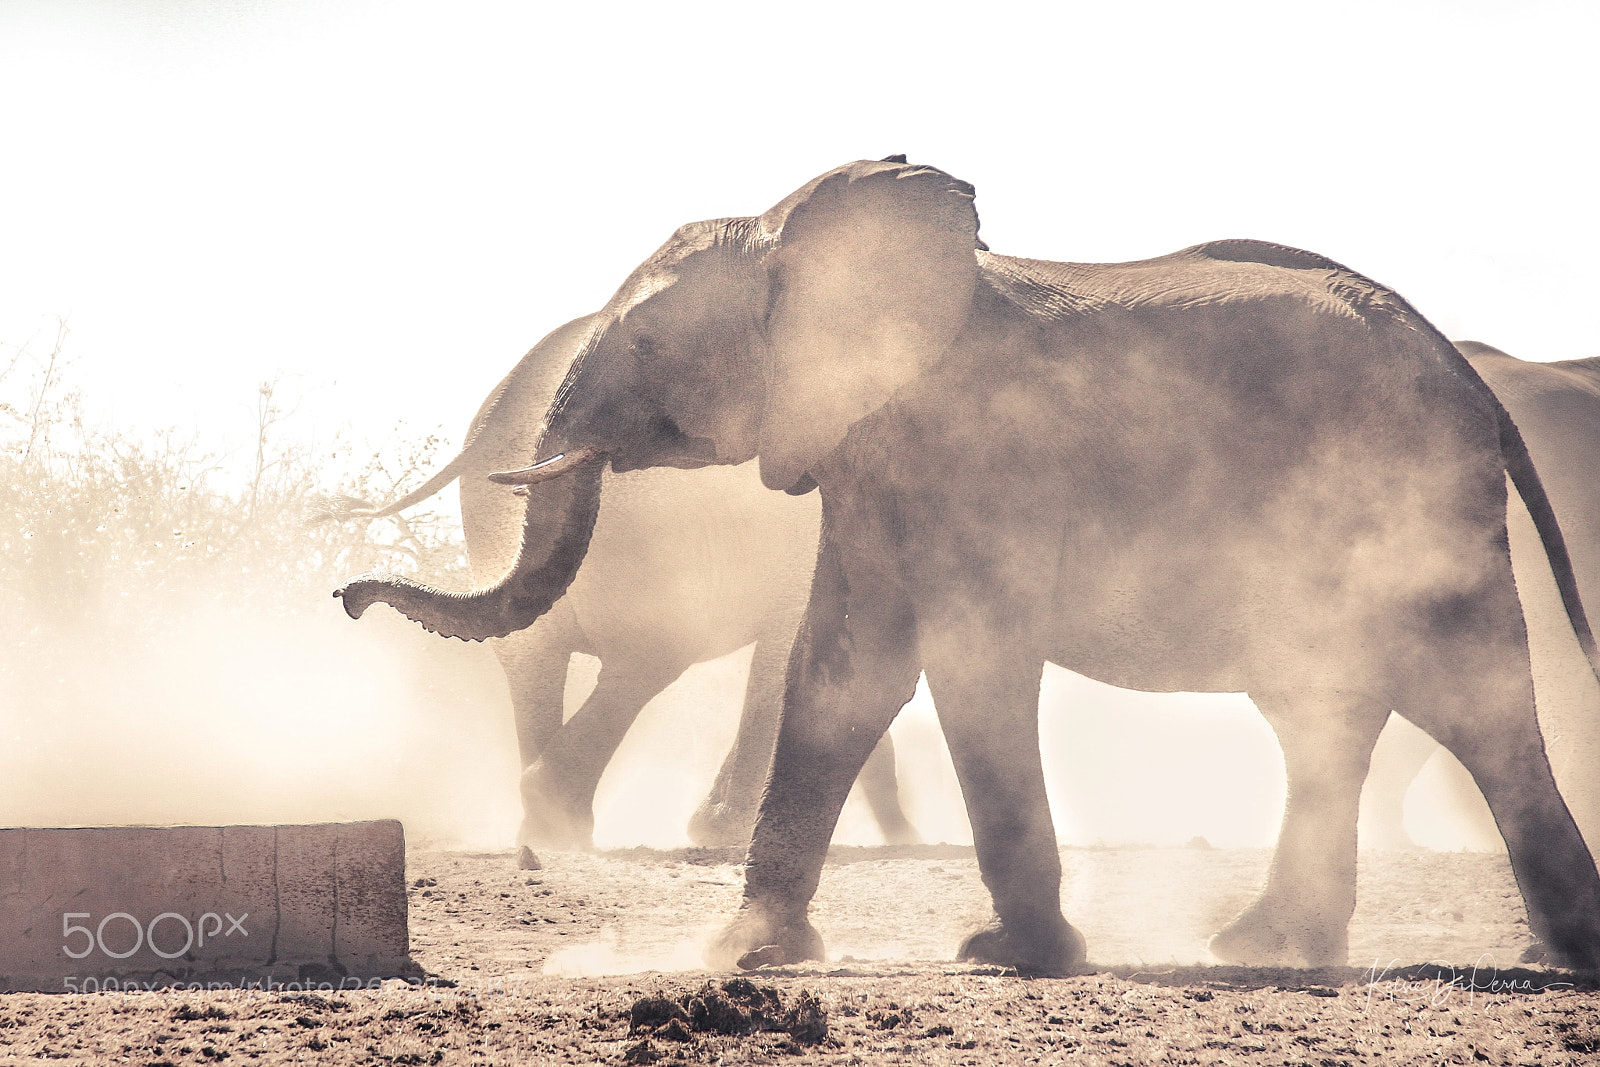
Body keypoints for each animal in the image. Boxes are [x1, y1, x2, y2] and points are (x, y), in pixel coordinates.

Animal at [330, 312, 917, 851]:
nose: (346, 596)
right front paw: (723, 832)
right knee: (651, 654)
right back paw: (562, 824)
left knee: (536, 658)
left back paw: (549, 829)